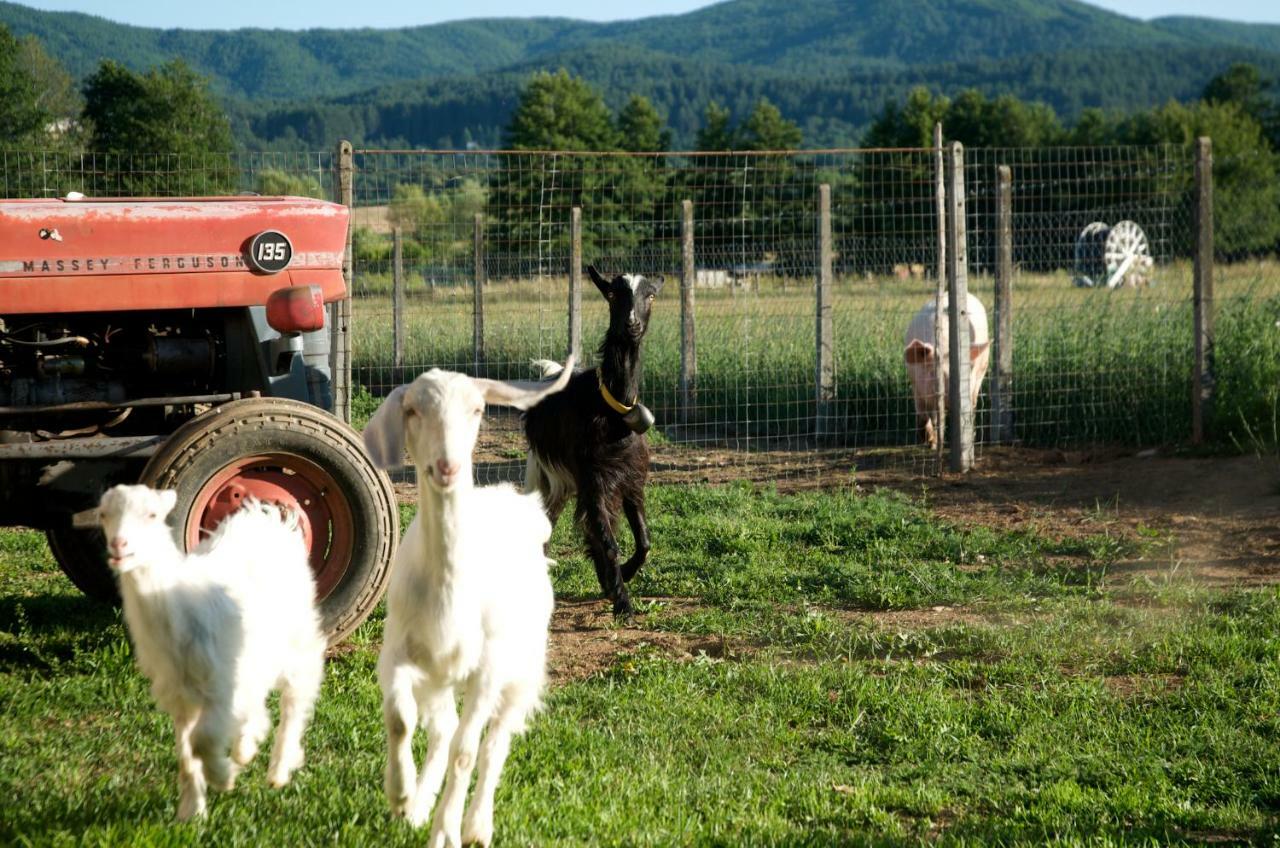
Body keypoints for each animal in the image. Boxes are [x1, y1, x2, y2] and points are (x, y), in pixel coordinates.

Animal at [96, 489, 325, 819]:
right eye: (103, 514)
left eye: (152, 515)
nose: (119, 545)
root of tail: (268, 516)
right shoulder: (180, 695)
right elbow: (186, 753)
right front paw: (191, 812)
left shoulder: (219, 687)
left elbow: (201, 741)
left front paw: (222, 775)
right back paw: (246, 745)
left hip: (296, 634)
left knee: (298, 690)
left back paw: (279, 768)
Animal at [366, 356, 576, 848]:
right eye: (412, 411)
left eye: (478, 410)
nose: (448, 466)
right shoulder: (399, 653)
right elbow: (401, 720)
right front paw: (402, 796)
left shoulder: (488, 669)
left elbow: (467, 751)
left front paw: (447, 830)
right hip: (439, 678)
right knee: (441, 731)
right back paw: (419, 805)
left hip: (522, 668)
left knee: (493, 743)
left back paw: (477, 824)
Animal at [522, 266, 665, 617]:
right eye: (612, 294)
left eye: (651, 295)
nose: (632, 325)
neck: (614, 412)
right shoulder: (594, 480)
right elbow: (608, 541)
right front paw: (622, 600)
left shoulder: (630, 480)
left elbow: (643, 541)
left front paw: (621, 576)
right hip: (544, 474)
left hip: (563, 485)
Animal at [901, 294, 988, 448]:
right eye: (932, 372)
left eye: (966, 371)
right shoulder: (916, 384)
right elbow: (923, 415)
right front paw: (930, 442)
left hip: (980, 375)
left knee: (973, 405)